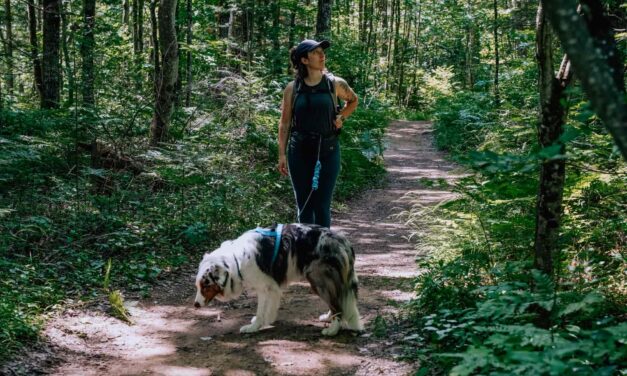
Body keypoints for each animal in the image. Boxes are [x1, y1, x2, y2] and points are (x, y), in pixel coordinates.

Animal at [195, 223, 364, 334]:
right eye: (198, 285)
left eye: (205, 285)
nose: (195, 305)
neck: (236, 260)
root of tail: (343, 242)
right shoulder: (271, 288)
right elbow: (268, 309)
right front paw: (266, 321)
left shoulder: (264, 287)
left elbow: (261, 310)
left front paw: (253, 327)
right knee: (336, 302)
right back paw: (328, 317)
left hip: (319, 281)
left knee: (337, 305)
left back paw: (333, 330)